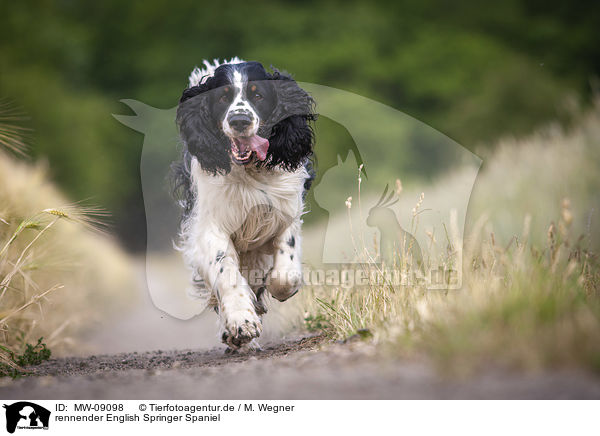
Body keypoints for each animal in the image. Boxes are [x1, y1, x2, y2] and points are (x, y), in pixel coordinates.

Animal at [172, 58, 316, 350]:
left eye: (258, 95)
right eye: (222, 97)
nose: (240, 120)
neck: (251, 171)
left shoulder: (285, 210)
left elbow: (286, 271)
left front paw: (276, 287)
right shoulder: (210, 226)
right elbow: (225, 270)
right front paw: (241, 321)